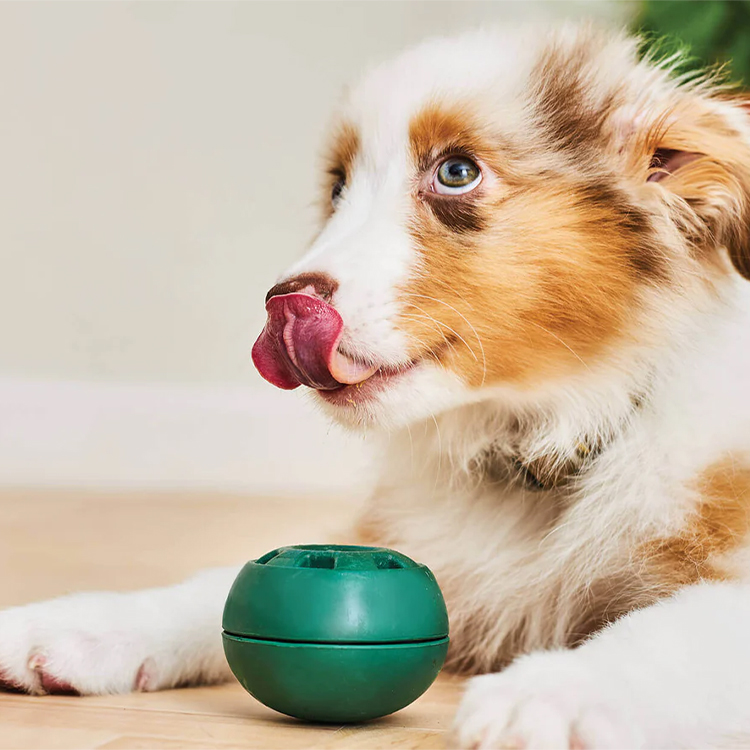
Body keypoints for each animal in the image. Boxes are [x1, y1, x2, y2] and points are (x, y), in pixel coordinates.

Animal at [1, 23, 750, 750]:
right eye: (337, 188)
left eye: (456, 172)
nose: (285, 306)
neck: (547, 446)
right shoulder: (430, 551)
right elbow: (219, 584)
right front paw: (82, 626)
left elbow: (673, 630)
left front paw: (549, 695)